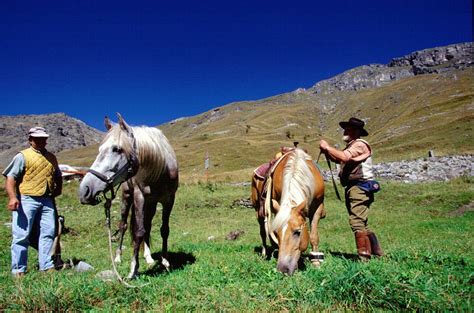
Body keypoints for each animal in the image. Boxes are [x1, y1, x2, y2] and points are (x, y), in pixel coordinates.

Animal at [79, 112, 180, 278]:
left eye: (117, 149)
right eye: (100, 149)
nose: (85, 190)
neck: (159, 171)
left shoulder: (169, 200)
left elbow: (164, 230)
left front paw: (165, 261)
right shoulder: (139, 198)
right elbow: (138, 231)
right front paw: (134, 269)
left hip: (151, 204)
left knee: (148, 225)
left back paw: (148, 256)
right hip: (127, 198)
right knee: (124, 225)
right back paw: (118, 257)